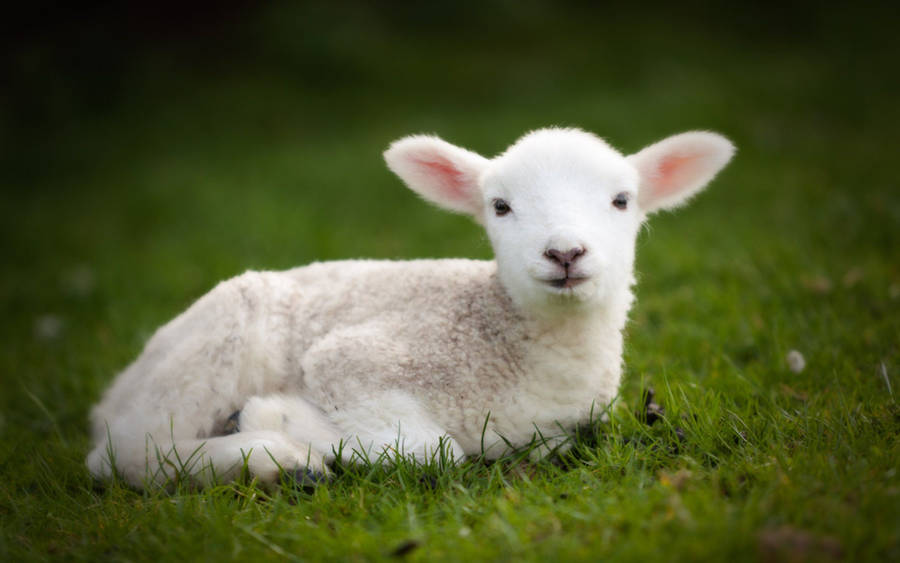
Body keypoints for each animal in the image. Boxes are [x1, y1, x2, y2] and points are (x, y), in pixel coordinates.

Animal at [86, 127, 735, 488]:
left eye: (622, 200)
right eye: (499, 207)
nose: (565, 253)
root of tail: (112, 393)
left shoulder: (561, 431)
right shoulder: (354, 357)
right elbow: (431, 451)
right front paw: (280, 422)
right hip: (212, 346)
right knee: (126, 454)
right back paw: (273, 459)